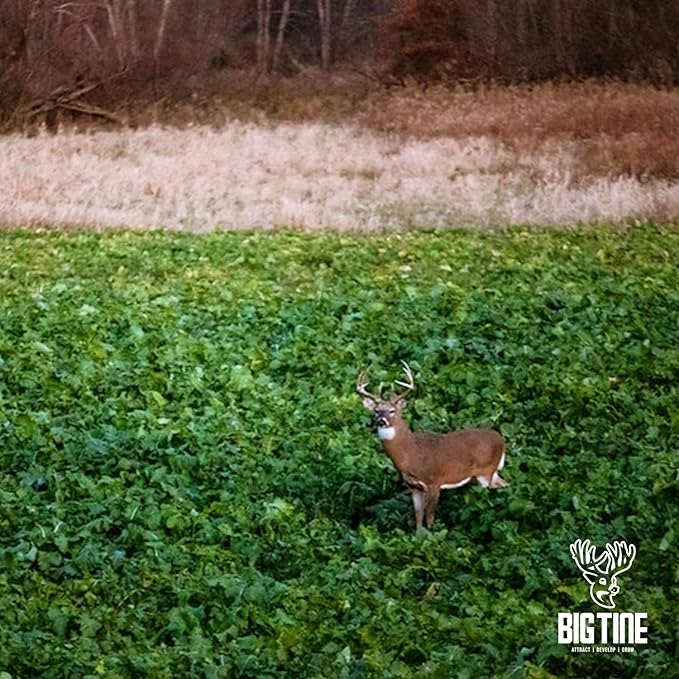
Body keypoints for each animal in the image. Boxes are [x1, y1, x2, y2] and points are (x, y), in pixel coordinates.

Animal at [357, 361, 508, 531]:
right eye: (376, 410)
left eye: (392, 410)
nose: (381, 421)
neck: (411, 453)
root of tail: (501, 439)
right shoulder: (414, 486)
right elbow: (418, 518)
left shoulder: (434, 481)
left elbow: (429, 518)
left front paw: (433, 535)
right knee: (504, 485)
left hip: (486, 472)